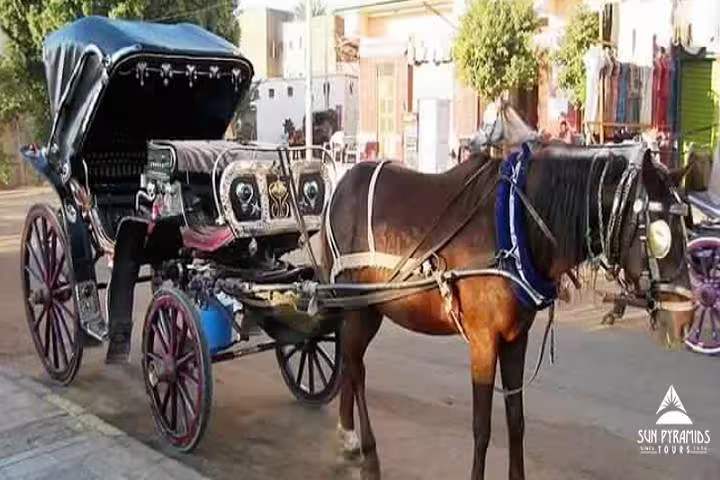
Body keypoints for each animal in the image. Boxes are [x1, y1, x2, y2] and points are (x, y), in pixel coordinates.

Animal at [320, 141, 695, 479]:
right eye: (659, 234)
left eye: (686, 227)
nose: (686, 318)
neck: (517, 227)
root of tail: (342, 186)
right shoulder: (484, 341)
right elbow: (482, 427)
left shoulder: (516, 338)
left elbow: (516, 420)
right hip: (357, 306)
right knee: (356, 368)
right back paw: (368, 453)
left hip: (370, 309)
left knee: (350, 363)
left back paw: (347, 434)